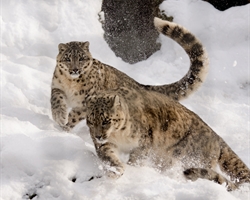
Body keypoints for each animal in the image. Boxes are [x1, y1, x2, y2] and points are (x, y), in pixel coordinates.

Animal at [50, 17, 209, 131]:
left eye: (81, 58)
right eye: (68, 58)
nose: (75, 70)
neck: (71, 83)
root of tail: (140, 85)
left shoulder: (87, 101)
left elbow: (75, 115)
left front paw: (65, 126)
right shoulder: (57, 86)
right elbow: (56, 100)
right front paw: (59, 116)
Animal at [86, 87, 250, 191]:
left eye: (106, 120)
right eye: (91, 121)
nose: (98, 136)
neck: (119, 136)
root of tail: (217, 137)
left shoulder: (144, 143)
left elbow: (137, 158)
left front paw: (133, 168)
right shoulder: (106, 144)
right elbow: (109, 156)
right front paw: (115, 170)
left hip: (184, 158)